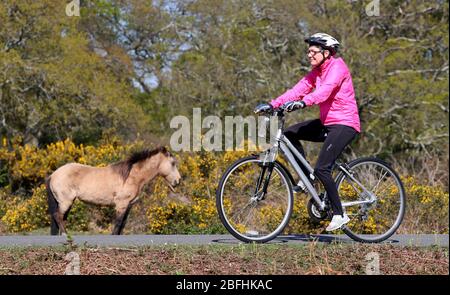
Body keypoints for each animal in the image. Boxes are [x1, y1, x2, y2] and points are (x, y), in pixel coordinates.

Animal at [44, 147, 180, 236]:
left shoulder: (128, 206)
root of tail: (53, 175)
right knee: (58, 216)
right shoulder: (121, 204)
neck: (131, 176)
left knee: (61, 218)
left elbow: (122, 225)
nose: (178, 181)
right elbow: (118, 224)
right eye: (173, 163)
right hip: (65, 202)